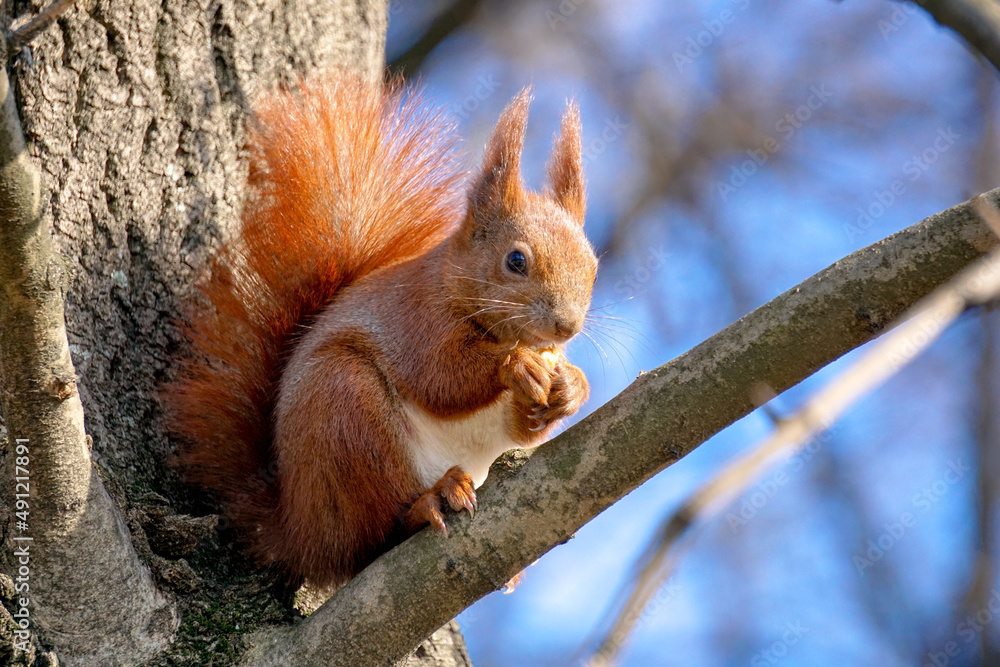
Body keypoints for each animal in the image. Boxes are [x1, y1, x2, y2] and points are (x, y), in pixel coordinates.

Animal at [164, 75, 598, 589]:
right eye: (516, 260)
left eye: (593, 265)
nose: (566, 326)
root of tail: (299, 532)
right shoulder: (414, 318)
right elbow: (442, 378)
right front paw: (517, 365)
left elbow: (523, 430)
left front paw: (572, 387)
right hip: (346, 409)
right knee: (373, 533)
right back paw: (429, 501)